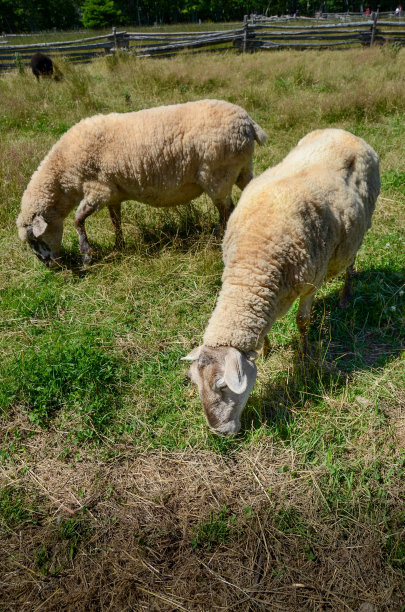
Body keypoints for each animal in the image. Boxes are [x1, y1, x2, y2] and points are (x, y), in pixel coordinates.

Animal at [17, 98, 266, 266]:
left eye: (34, 238)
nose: (48, 265)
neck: (64, 172)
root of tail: (248, 123)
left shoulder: (98, 189)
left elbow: (78, 220)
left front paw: (86, 254)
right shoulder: (113, 193)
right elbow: (115, 221)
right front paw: (119, 246)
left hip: (217, 175)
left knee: (226, 210)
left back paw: (216, 239)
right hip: (242, 168)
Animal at [183, 129, 378, 436]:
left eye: (224, 385)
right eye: (195, 384)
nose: (219, 432)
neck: (252, 264)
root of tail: (343, 132)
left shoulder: (311, 281)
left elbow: (302, 321)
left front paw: (305, 355)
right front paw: (265, 350)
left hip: (361, 229)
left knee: (351, 261)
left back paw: (346, 295)